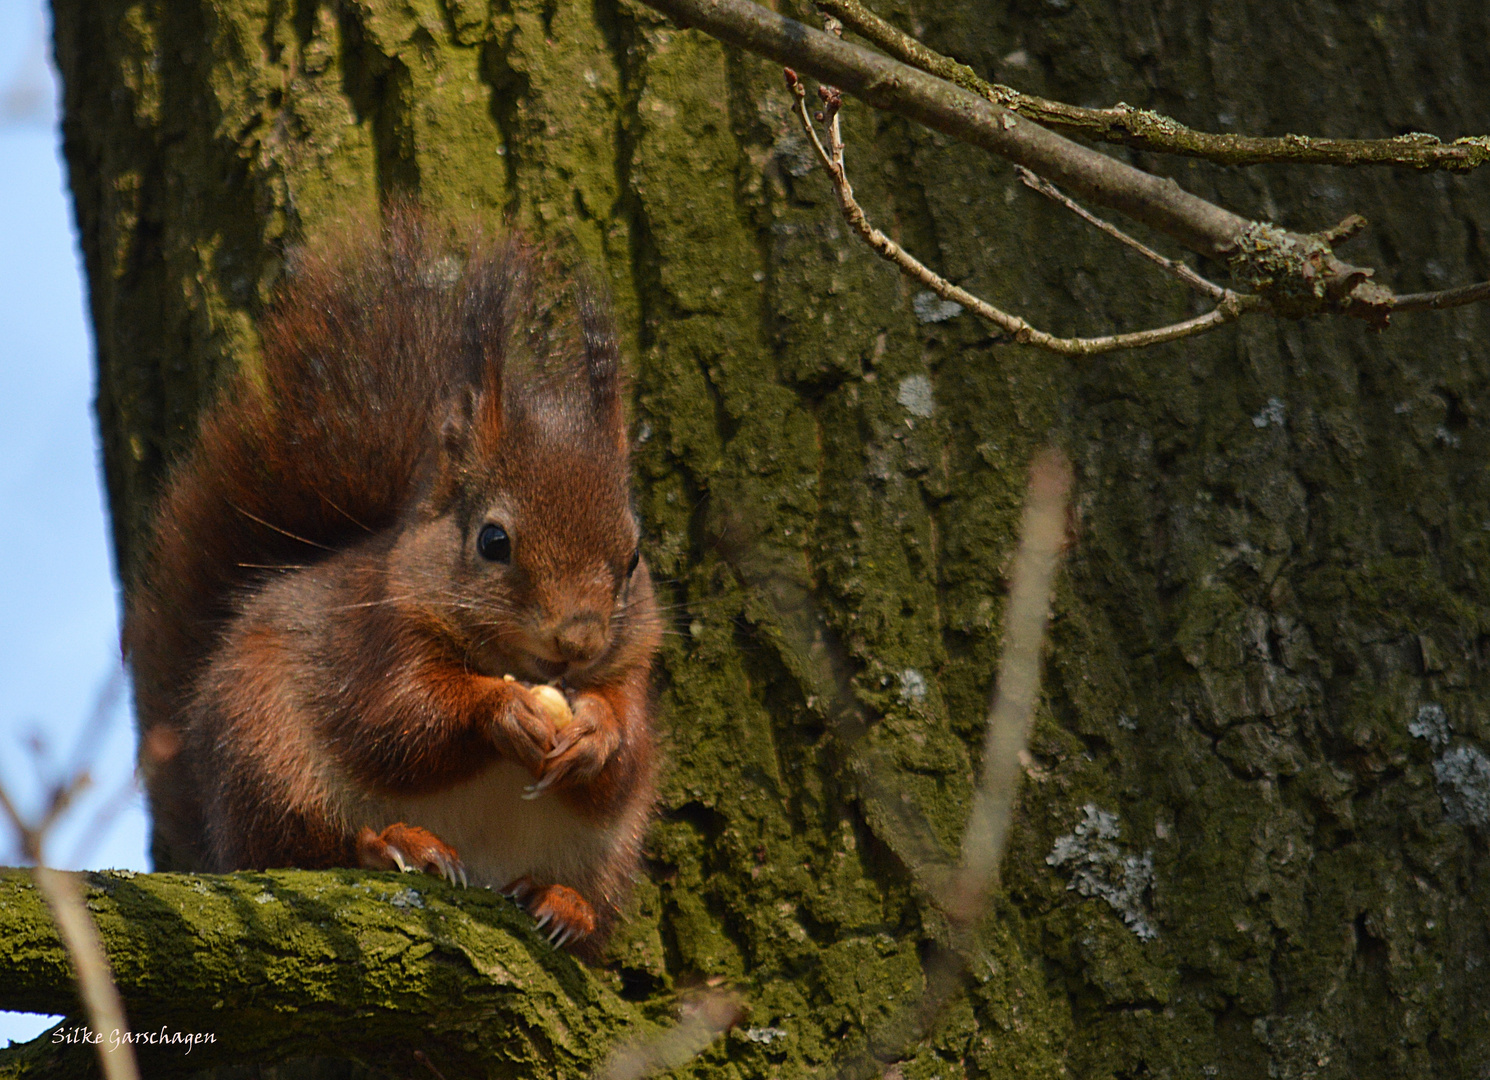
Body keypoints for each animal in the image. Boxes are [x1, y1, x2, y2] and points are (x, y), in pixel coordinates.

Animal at [125, 213, 661, 953]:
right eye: (493, 541)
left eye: (634, 558)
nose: (577, 642)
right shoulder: (373, 635)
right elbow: (399, 720)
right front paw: (501, 710)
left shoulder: (633, 671)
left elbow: (626, 760)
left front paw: (598, 735)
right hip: (267, 758)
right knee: (305, 849)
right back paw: (395, 845)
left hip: (612, 852)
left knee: (594, 905)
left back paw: (565, 906)